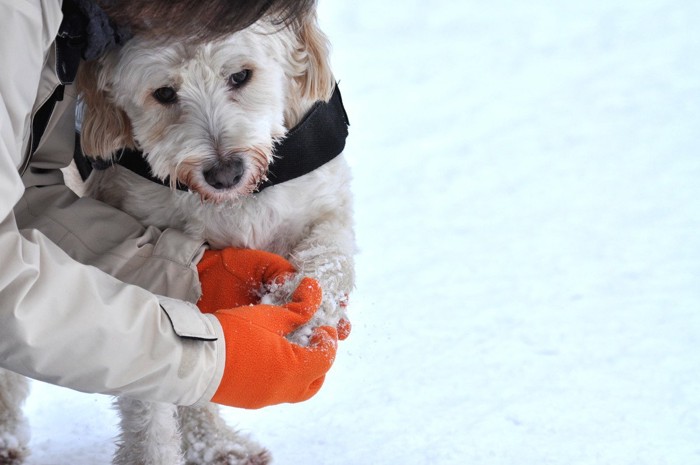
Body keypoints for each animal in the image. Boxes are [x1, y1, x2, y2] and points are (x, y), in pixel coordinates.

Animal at [73, 8, 356, 464]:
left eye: (240, 76)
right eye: (164, 93)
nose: (225, 173)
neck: (234, 203)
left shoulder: (326, 207)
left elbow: (328, 266)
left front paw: (298, 318)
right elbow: (149, 398)